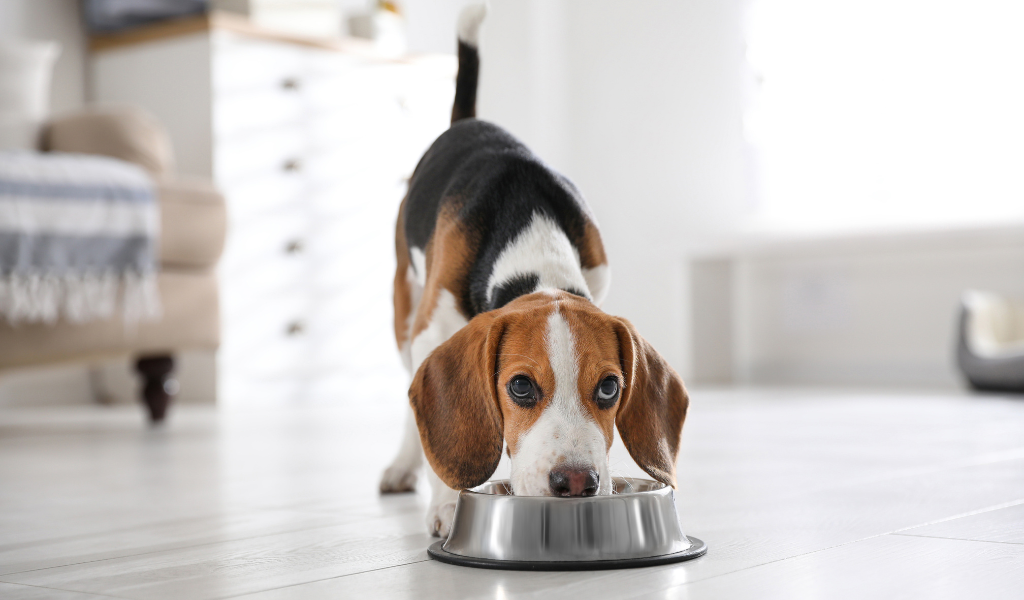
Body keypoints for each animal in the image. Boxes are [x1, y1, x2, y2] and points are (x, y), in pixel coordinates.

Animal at [378, 3, 688, 536]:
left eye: (610, 387)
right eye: (520, 386)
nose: (577, 482)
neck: (531, 238)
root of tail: (469, 121)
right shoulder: (430, 329)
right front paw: (447, 504)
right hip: (405, 311)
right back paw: (402, 464)